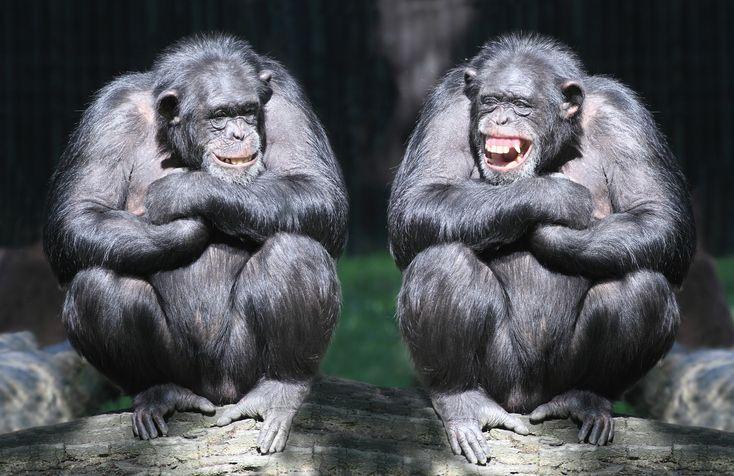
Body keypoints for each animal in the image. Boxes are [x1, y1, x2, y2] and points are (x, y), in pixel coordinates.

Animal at [44, 34, 350, 454]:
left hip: (240, 367)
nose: (239, 134)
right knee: (98, 282)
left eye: (248, 111)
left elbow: (316, 187)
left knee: (296, 251)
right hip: (183, 369)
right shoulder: (109, 115)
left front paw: (183, 192)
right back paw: (158, 392)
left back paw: (280, 388)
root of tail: (215, 391)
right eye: (218, 115)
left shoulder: (286, 97)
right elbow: (78, 213)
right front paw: (184, 228)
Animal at [388, 34, 700, 464]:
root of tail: (529, 400)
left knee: (643, 284)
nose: (501, 120)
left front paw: (554, 235)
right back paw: (462, 399)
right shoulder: (447, 104)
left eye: (521, 105)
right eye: (490, 101)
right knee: (441, 261)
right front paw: (554, 197)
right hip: (502, 376)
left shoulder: (626, 116)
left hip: (560, 376)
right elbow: (419, 197)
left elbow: (660, 215)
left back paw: (588, 398)